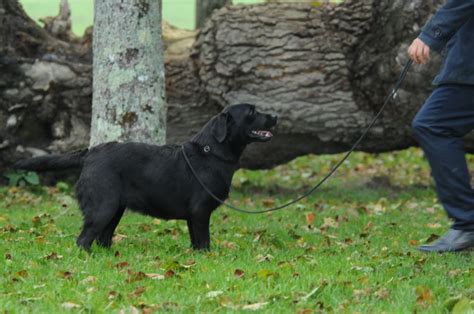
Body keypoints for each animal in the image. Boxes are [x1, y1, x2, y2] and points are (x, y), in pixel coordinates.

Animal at [14, 104, 278, 251]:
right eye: (252, 112)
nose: (276, 116)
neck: (211, 152)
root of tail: (90, 152)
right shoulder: (200, 212)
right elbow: (204, 242)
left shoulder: (193, 217)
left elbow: (196, 242)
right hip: (103, 207)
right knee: (84, 240)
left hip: (114, 210)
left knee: (102, 240)